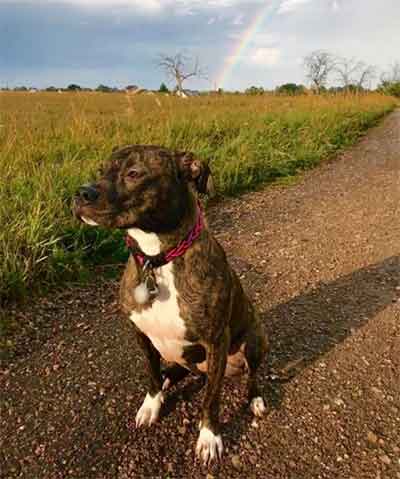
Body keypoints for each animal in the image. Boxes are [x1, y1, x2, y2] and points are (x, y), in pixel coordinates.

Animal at [74, 145, 268, 464]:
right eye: (101, 170)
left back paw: (254, 399)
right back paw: (169, 379)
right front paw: (151, 405)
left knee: (251, 376)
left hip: (254, 339)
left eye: (134, 173)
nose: (81, 193)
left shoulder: (216, 340)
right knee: (178, 369)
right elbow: (151, 373)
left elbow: (211, 399)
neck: (158, 258)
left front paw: (209, 437)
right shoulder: (141, 334)